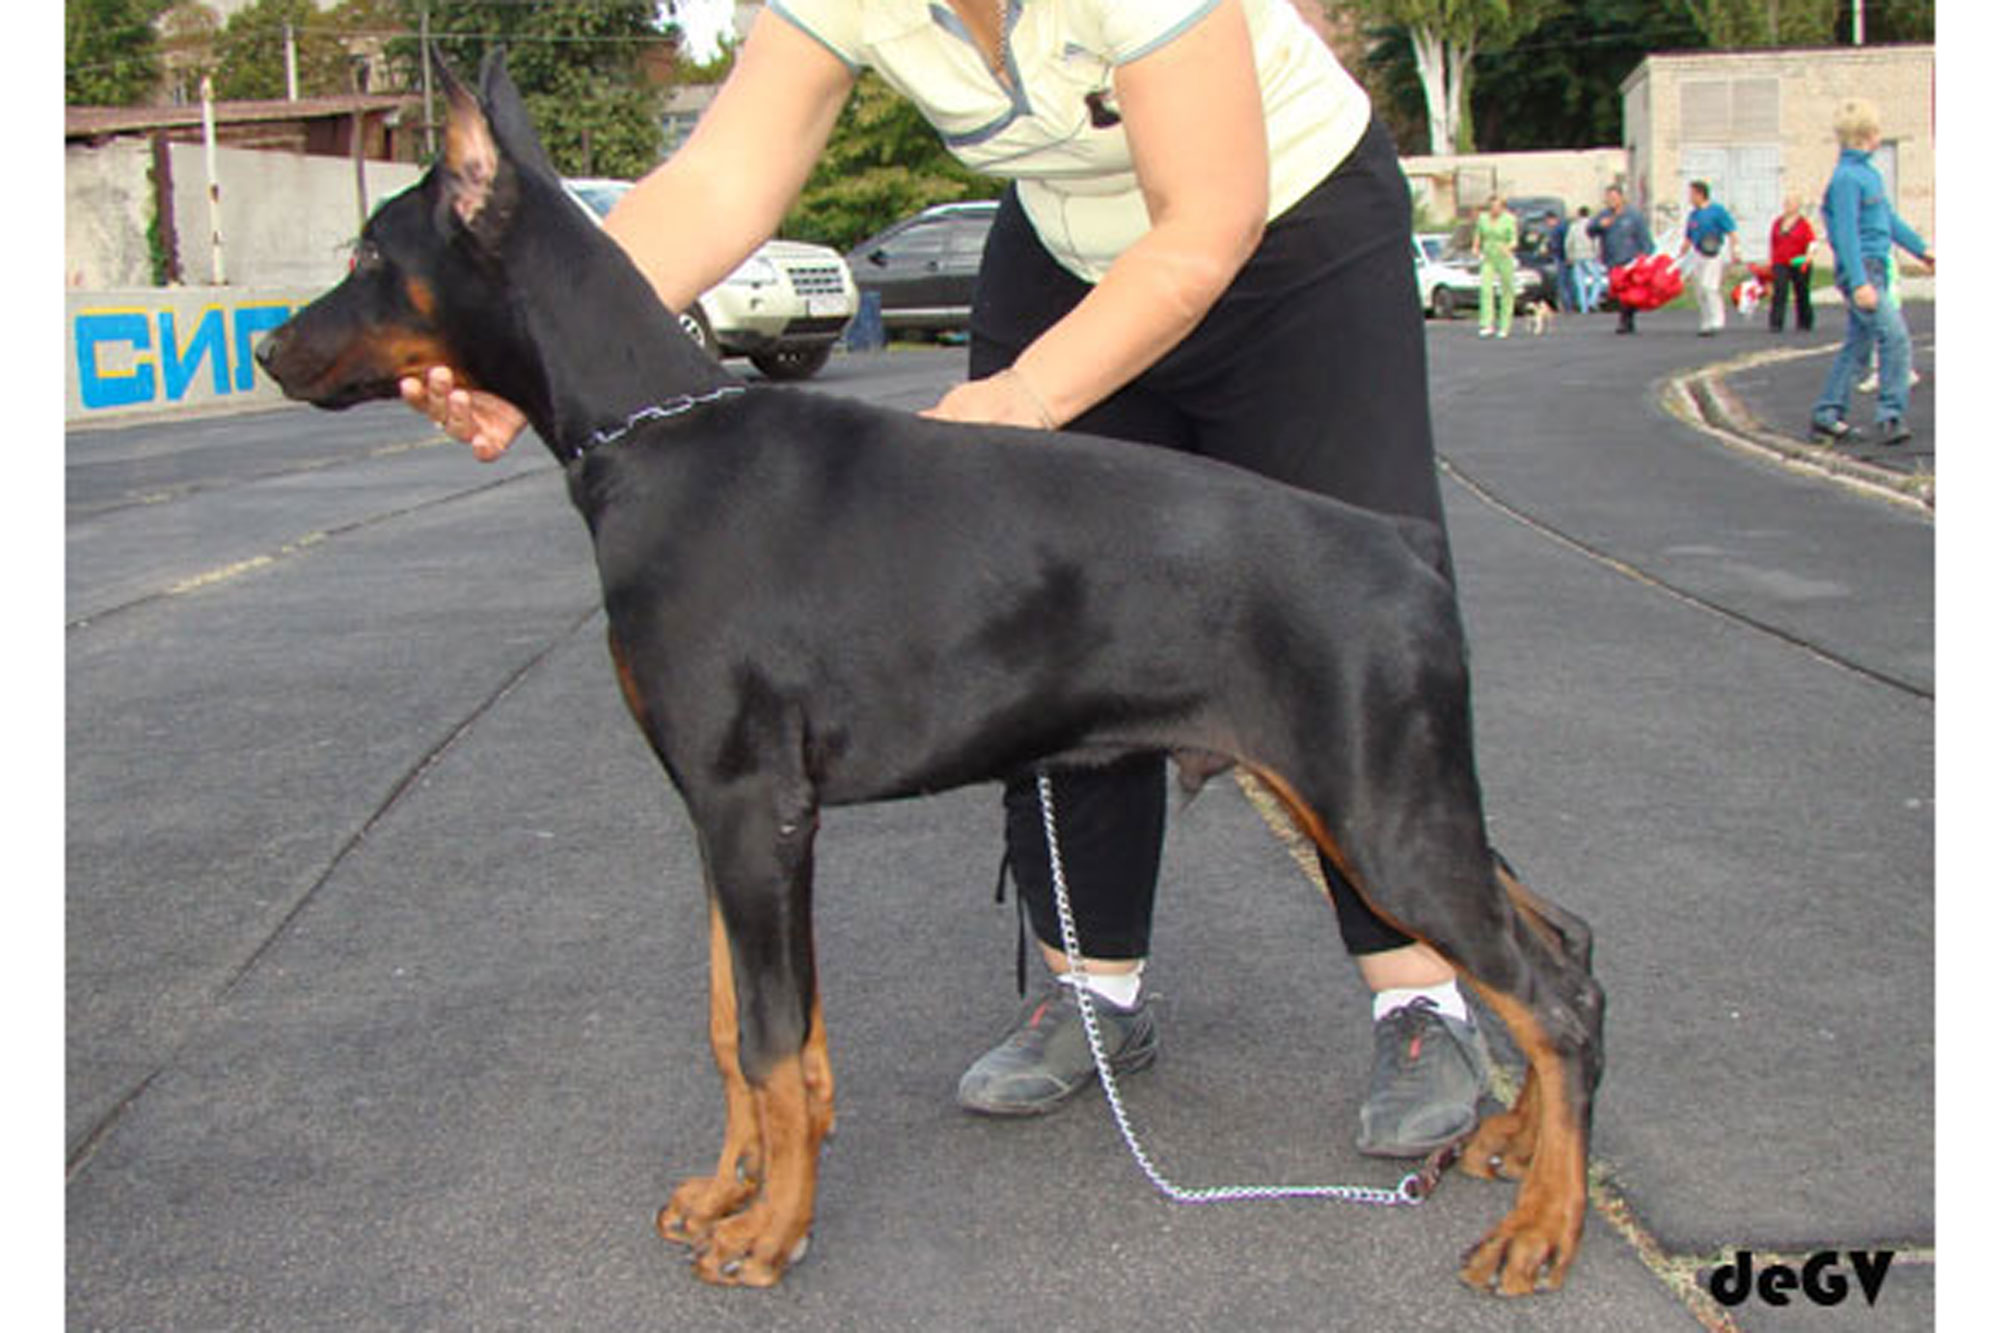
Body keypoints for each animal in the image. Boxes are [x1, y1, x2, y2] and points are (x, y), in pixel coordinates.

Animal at [257, 50, 1605, 1297]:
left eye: (369, 254)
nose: (267, 345)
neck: (653, 443)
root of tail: (1404, 544)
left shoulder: (753, 806)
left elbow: (766, 1036)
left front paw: (771, 1232)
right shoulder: (720, 814)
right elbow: (740, 1029)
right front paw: (730, 1187)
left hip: (1374, 813)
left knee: (1545, 992)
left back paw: (1541, 1225)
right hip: (1387, 795)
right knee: (1567, 945)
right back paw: (1515, 1143)